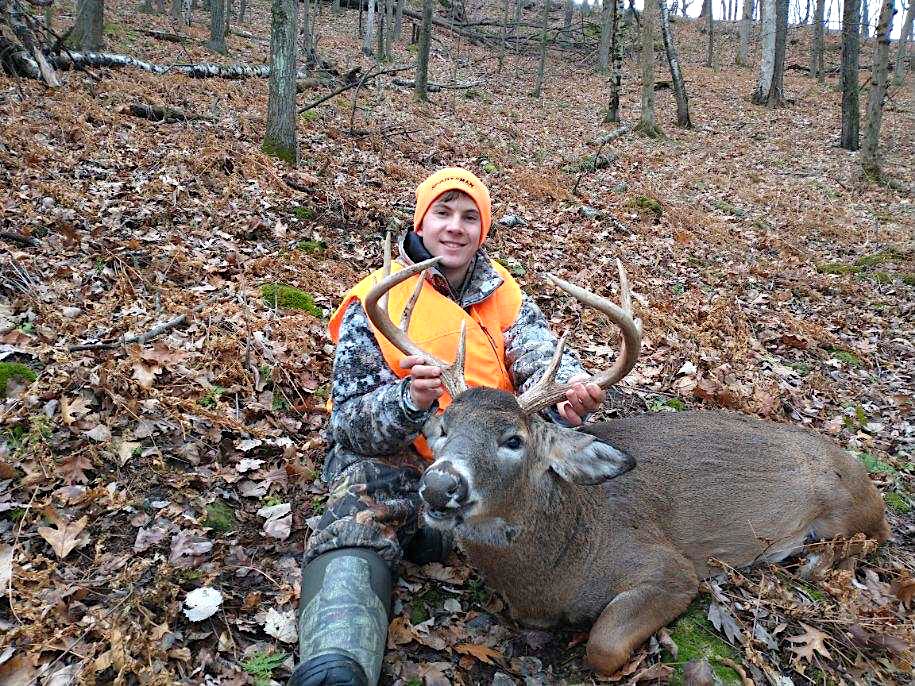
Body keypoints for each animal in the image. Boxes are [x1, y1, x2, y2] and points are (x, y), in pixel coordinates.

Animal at [363, 255, 891, 676]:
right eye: (444, 427)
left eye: (514, 440)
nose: (439, 486)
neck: (557, 569)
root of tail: (866, 477)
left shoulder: (672, 570)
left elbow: (603, 646)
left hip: (846, 510)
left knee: (868, 541)